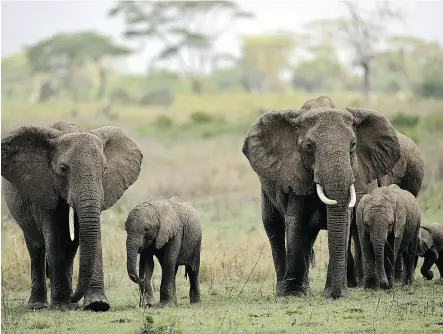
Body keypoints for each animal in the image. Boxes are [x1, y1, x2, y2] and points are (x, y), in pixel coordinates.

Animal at [0, 120, 143, 310]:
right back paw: (39, 305)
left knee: (70, 245)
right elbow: (53, 236)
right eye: (62, 169)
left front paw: (97, 304)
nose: (75, 297)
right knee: (36, 247)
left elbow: (90, 234)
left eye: (104, 170)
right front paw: (61, 306)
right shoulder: (44, 186)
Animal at [241, 95, 404, 298]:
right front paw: (293, 294)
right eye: (309, 146)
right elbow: (295, 221)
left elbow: (344, 222)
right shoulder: (294, 173)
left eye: (353, 145)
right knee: (273, 225)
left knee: (309, 235)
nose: (336, 294)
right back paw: (283, 291)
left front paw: (334, 293)